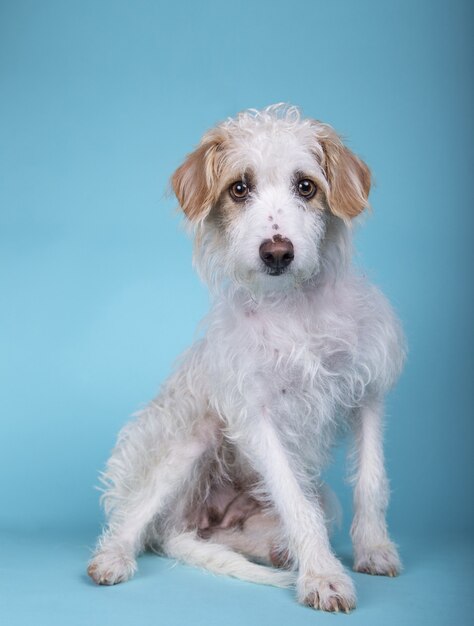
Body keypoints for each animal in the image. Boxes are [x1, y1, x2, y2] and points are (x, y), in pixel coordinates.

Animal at [88, 103, 404, 608]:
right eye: (239, 188)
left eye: (306, 186)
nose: (277, 252)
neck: (294, 306)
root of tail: (189, 524)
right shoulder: (255, 415)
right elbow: (294, 501)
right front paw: (322, 576)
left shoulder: (367, 395)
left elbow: (370, 482)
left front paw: (373, 549)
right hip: (188, 442)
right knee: (136, 517)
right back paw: (114, 556)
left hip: (291, 506)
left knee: (232, 537)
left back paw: (279, 552)